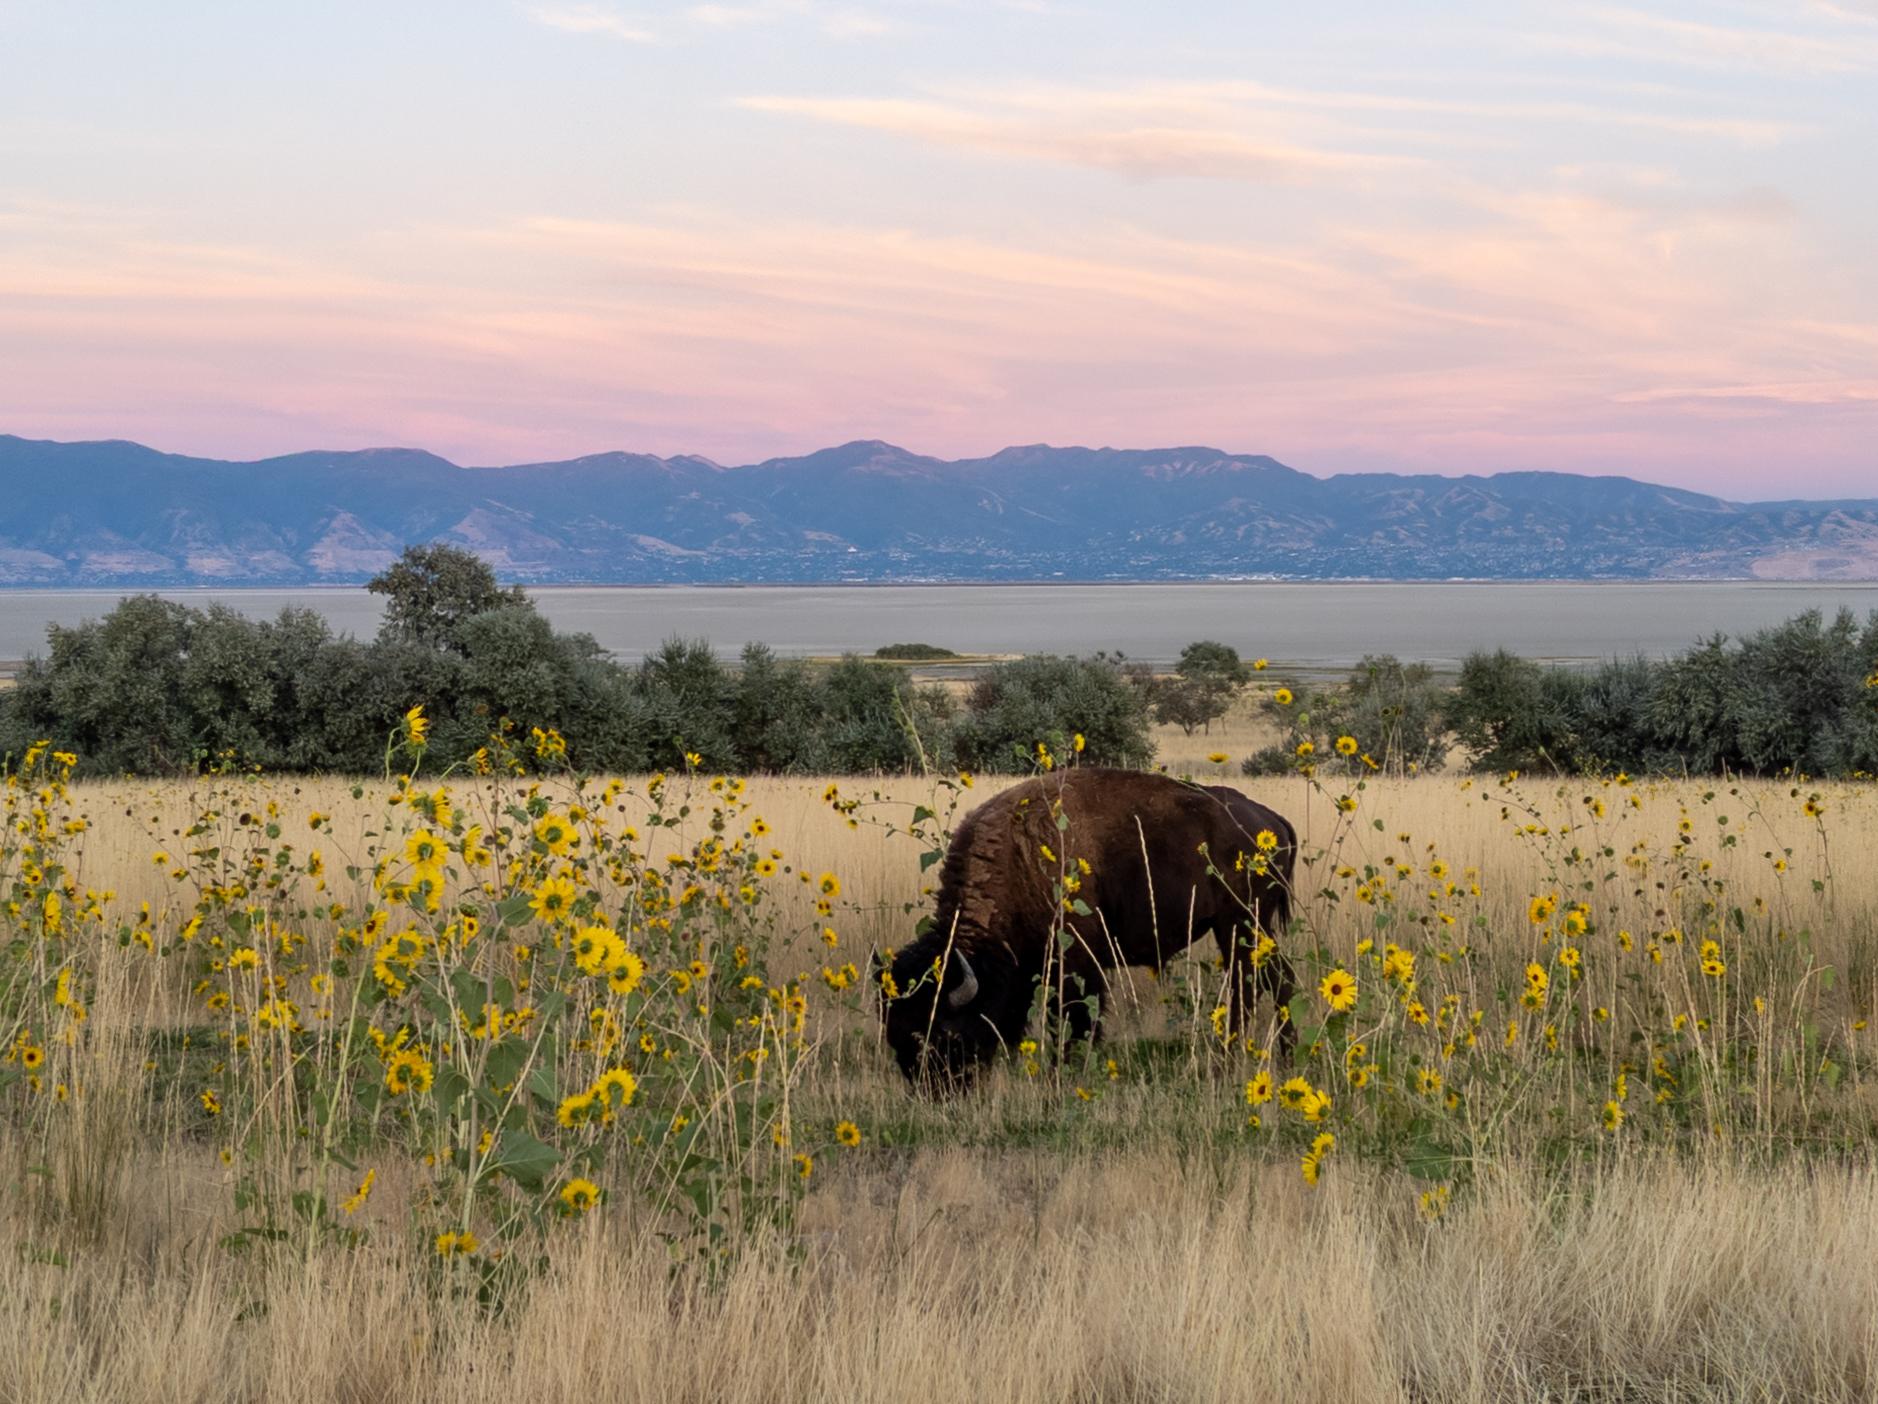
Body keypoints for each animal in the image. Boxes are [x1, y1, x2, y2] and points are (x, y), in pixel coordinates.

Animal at [877, 767, 1297, 1090]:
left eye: (943, 1033)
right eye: (893, 1031)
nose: (934, 1091)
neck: (1019, 860)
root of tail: (1268, 819)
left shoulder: (1078, 962)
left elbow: (1079, 1017)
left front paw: (1066, 1070)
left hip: (1240, 924)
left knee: (1252, 984)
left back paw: (1228, 1062)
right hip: (1246, 928)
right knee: (1272, 980)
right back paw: (1282, 1055)